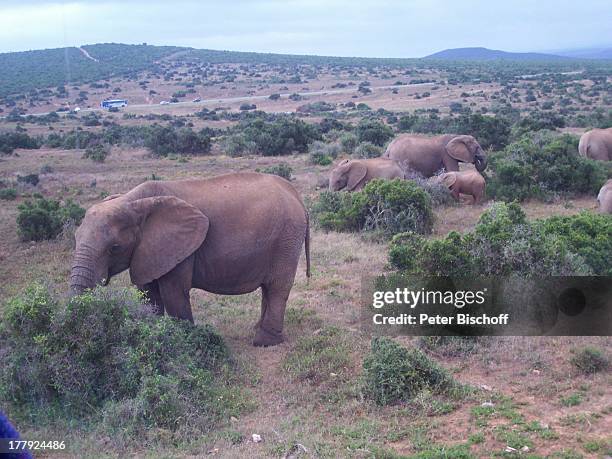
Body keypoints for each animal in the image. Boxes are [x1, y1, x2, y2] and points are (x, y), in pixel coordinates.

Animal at [70, 174, 310, 346]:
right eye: (75, 238)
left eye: (114, 248)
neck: (133, 201)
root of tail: (297, 196)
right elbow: (148, 295)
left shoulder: (180, 249)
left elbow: (173, 293)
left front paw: (185, 344)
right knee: (267, 287)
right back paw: (257, 329)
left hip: (286, 237)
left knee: (277, 287)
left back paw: (264, 342)